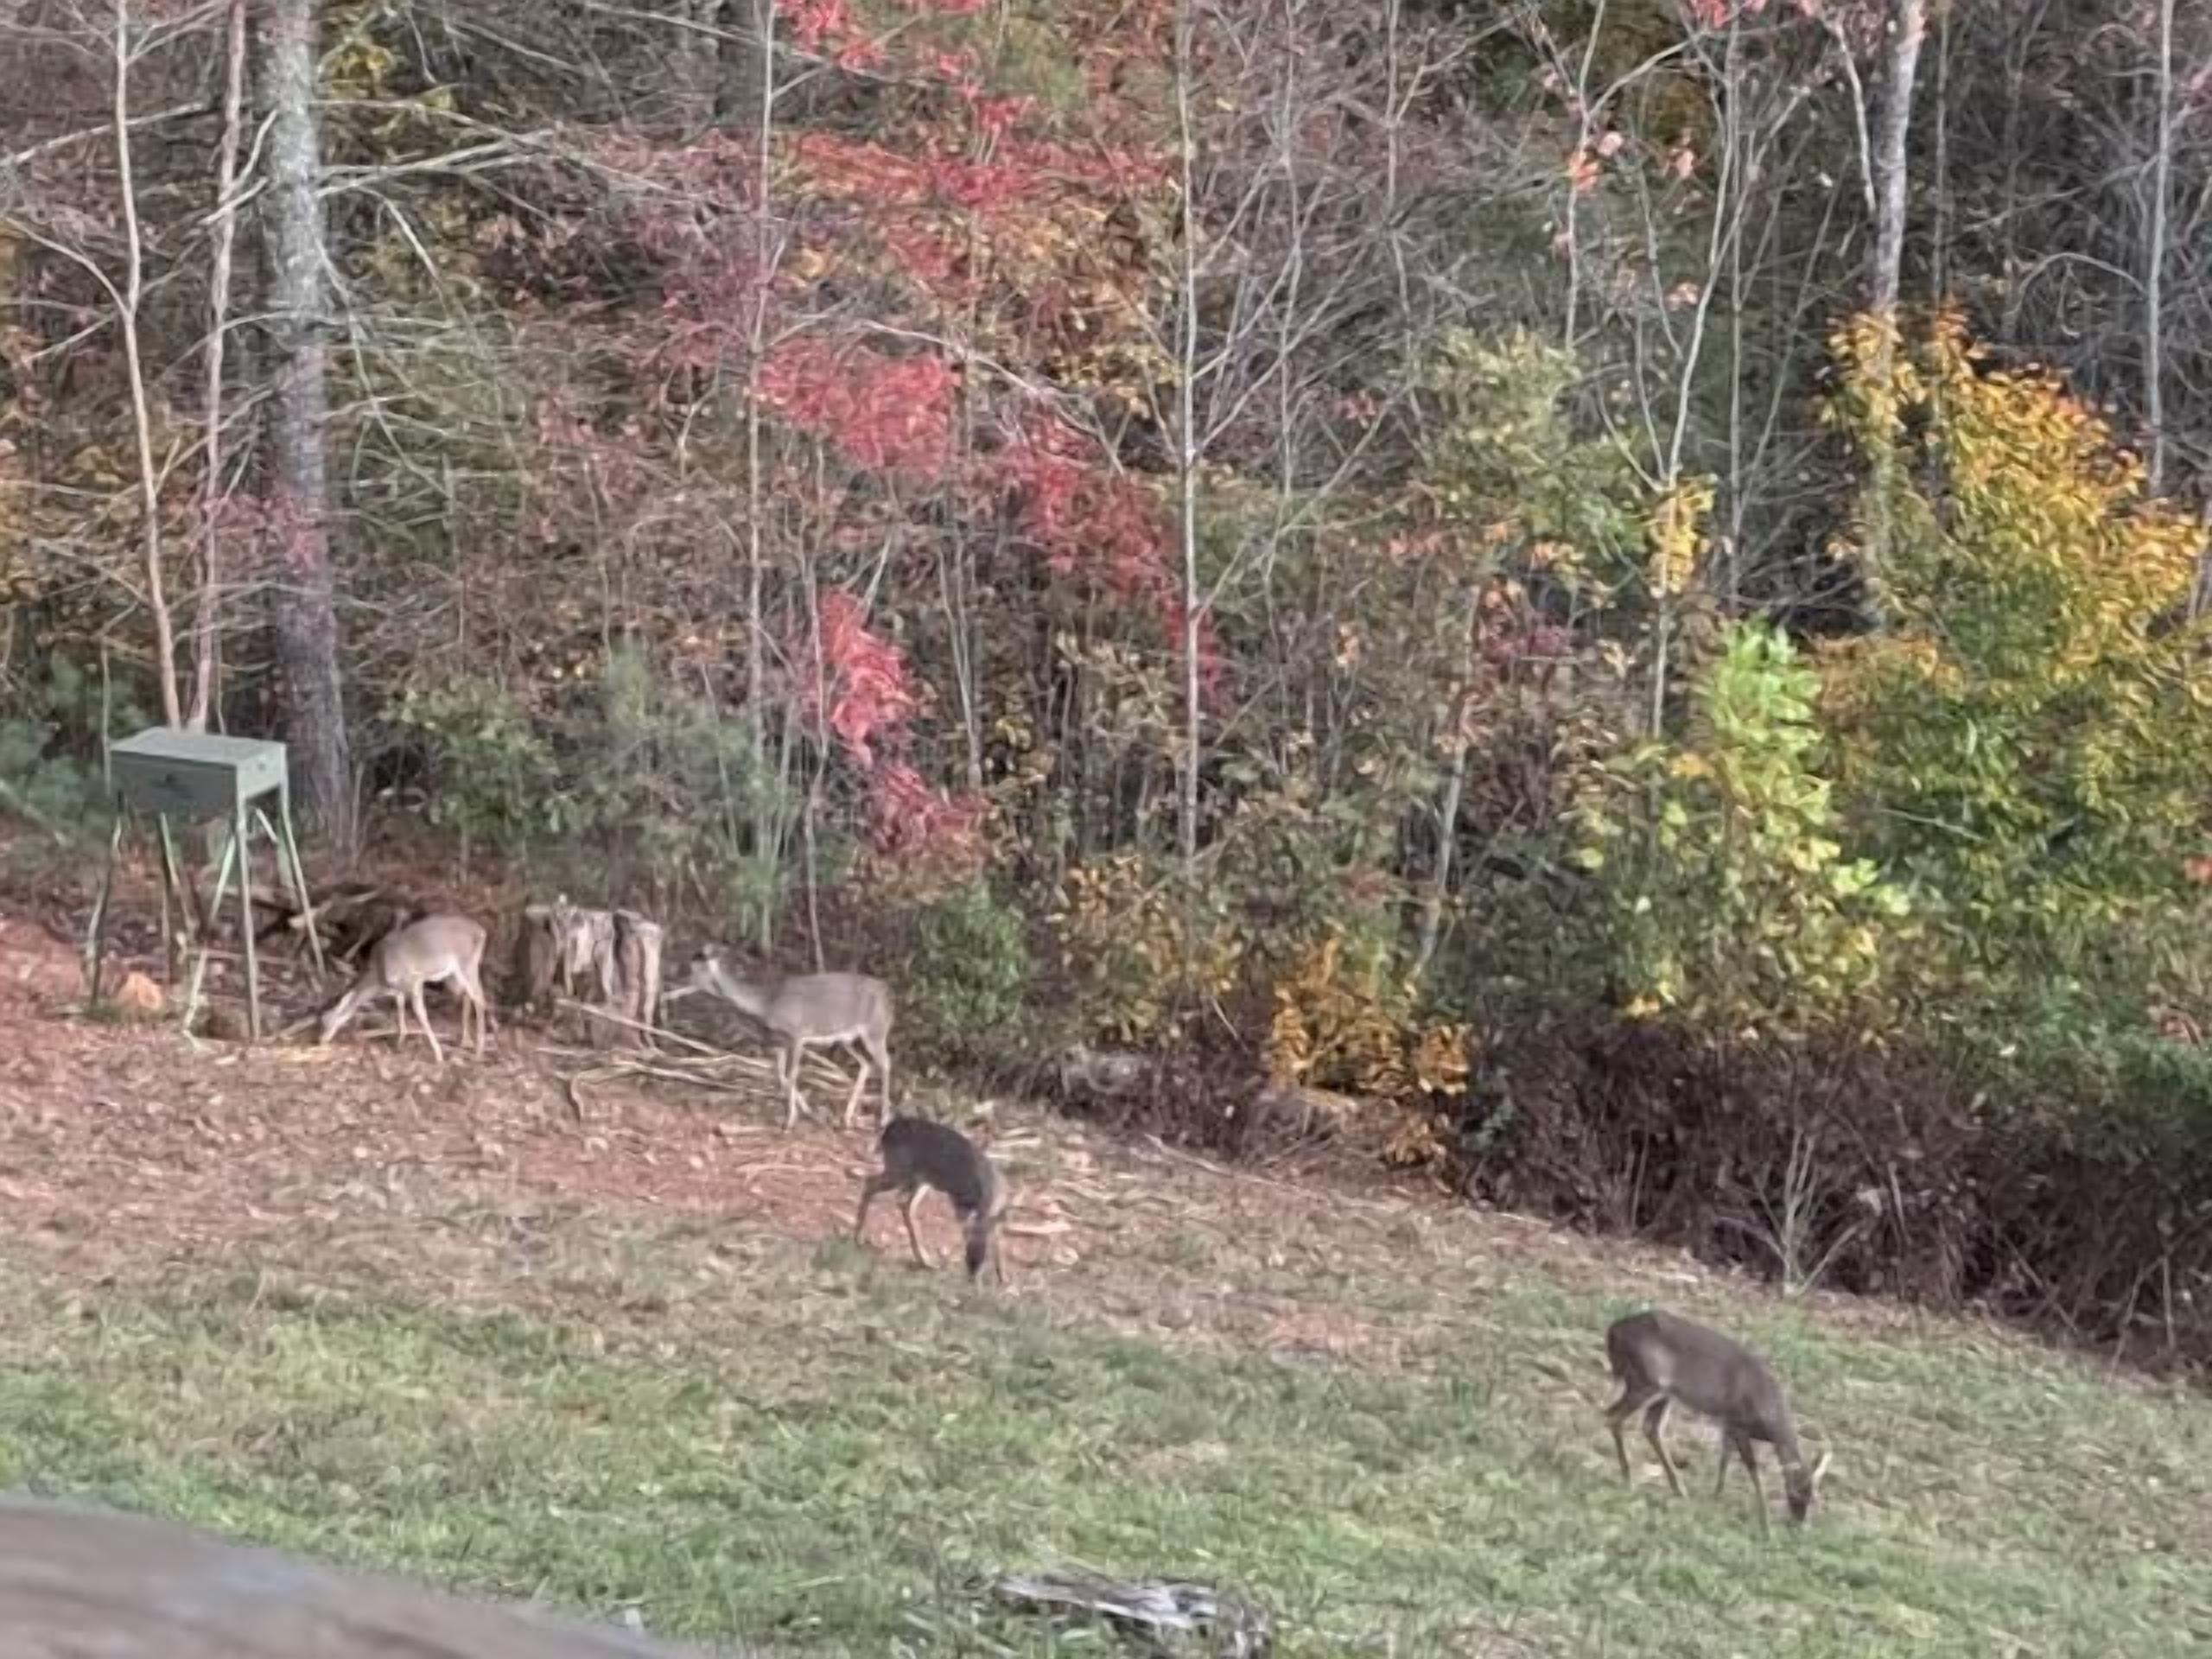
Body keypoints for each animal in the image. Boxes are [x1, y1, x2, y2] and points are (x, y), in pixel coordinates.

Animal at [1602, 1308, 1831, 1536]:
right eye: (1797, 1493)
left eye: (1816, 1499)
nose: (1800, 1526)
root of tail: (1613, 1331)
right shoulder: (1738, 1422)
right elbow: (1753, 1468)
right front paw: (1765, 1524)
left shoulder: (1727, 1422)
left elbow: (1724, 1458)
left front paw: (1716, 1496)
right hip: (1647, 1380)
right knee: (1613, 1416)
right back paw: (1629, 1480)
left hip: (1663, 1391)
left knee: (1650, 1428)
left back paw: (1679, 1489)